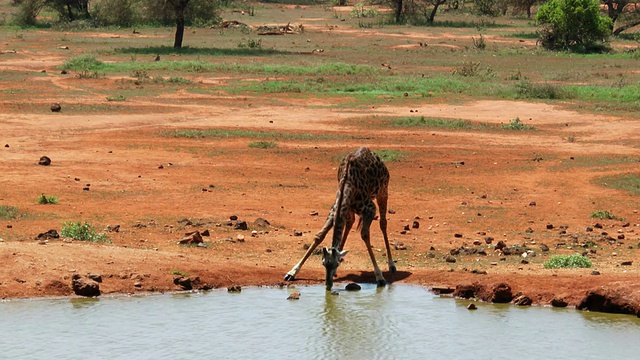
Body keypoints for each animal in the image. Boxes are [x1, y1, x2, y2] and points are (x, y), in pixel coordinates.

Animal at [284, 146, 396, 290]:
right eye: (323, 263)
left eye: (335, 264)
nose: (328, 285)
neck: (348, 184)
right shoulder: (334, 210)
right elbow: (319, 236)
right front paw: (292, 272)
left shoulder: (370, 209)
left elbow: (365, 235)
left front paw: (380, 277)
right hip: (350, 209)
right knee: (350, 222)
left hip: (383, 191)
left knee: (383, 223)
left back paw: (392, 265)